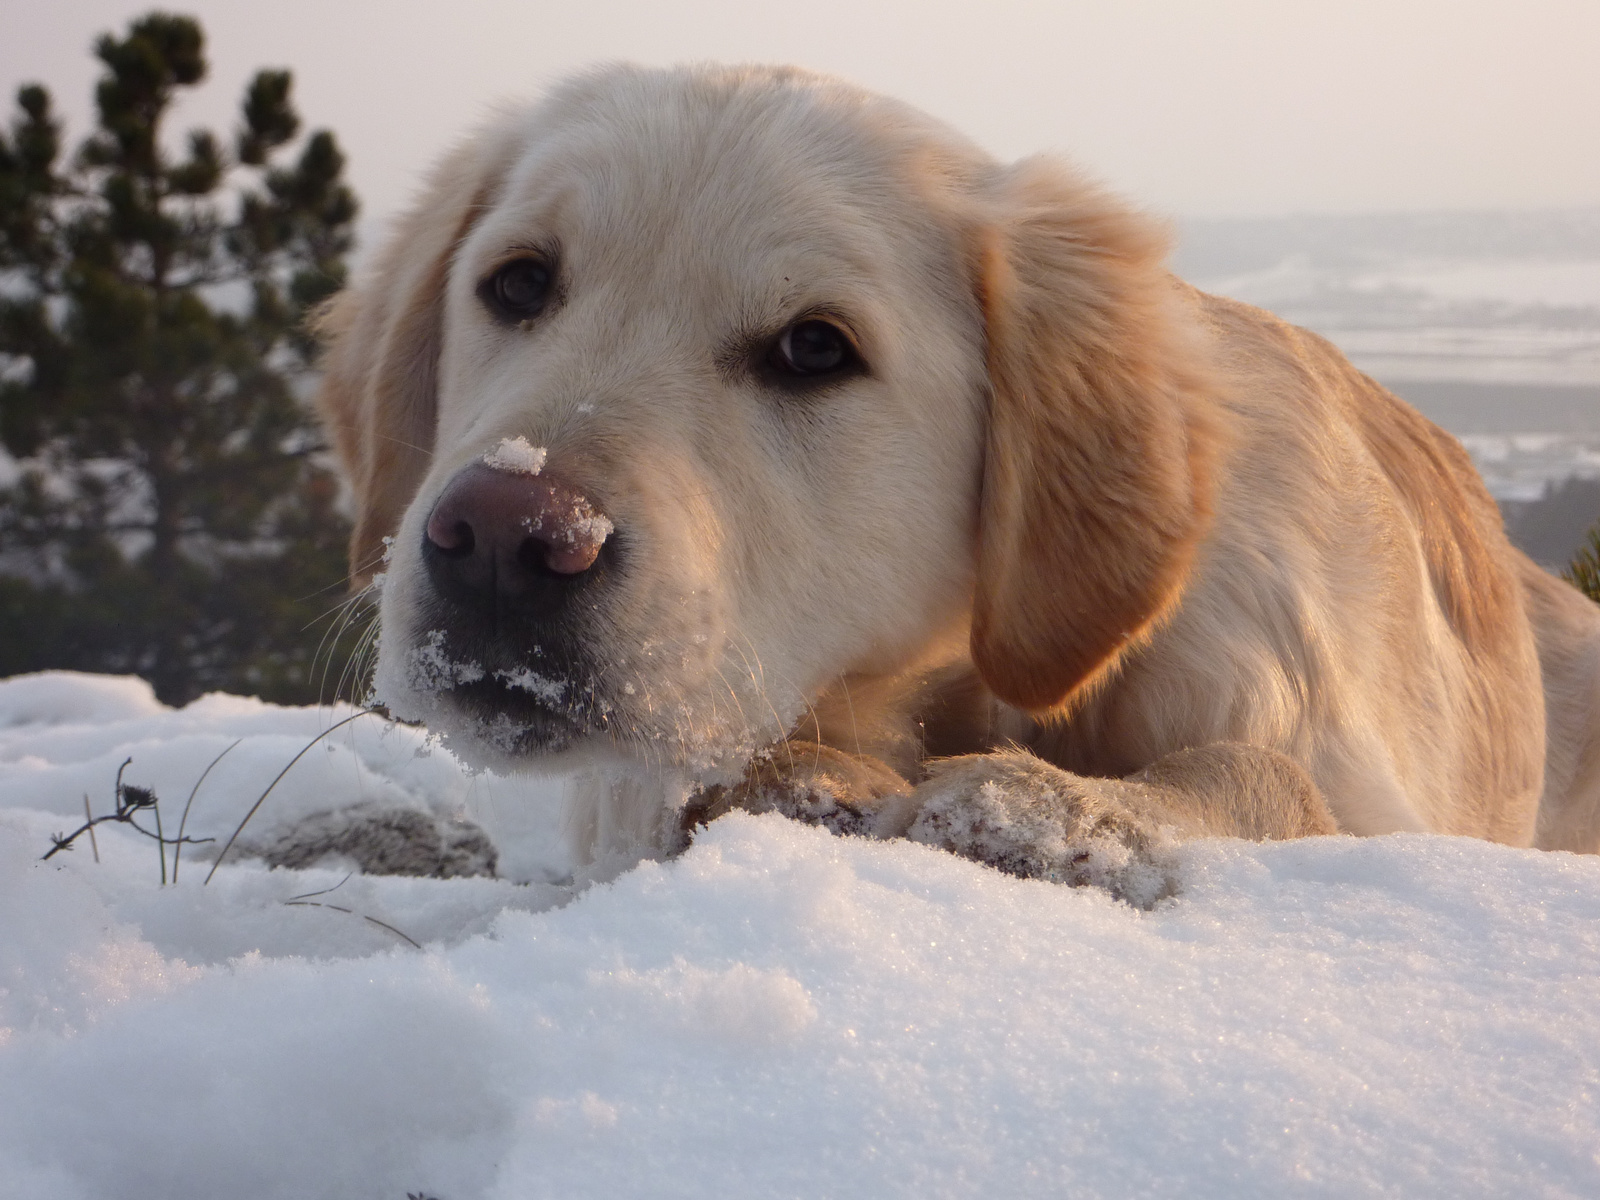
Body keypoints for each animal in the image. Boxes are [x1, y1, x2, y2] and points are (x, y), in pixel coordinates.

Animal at [312, 65, 1600, 896]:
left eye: (814, 348)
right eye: (518, 283)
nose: (502, 536)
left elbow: (1262, 770)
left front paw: (1046, 810)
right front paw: (805, 782)